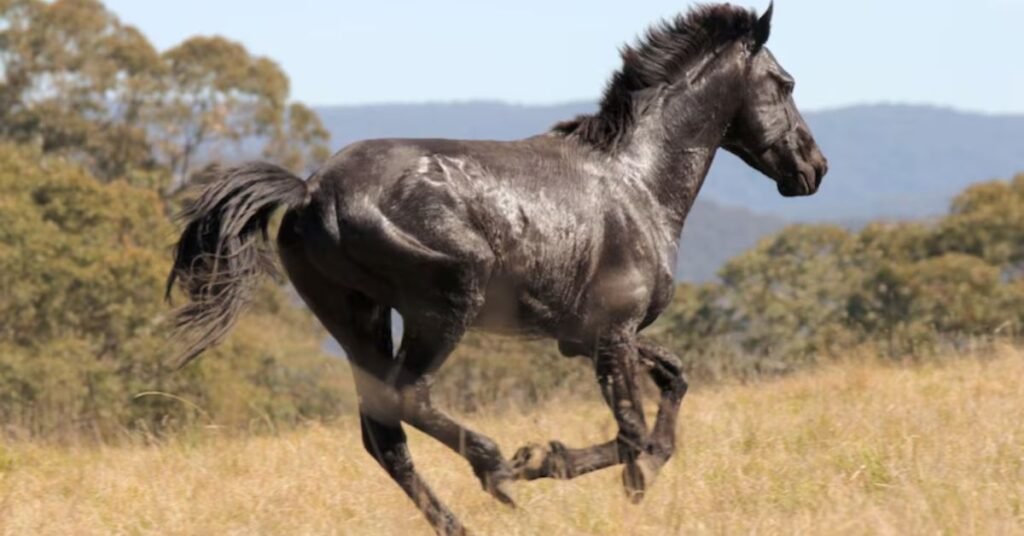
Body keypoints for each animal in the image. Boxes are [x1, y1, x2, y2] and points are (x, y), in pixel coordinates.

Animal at [165, 3, 827, 534]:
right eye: (785, 82)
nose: (813, 168)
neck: (636, 184)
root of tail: (309, 193)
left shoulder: (585, 337)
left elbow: (672, 386)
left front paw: (630, 476)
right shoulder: (612, 336)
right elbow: (632, 431)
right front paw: (545, 461)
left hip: (359, 318)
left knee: (383, 433)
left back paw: (460, 521)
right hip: (444, 303)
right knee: (407, 398)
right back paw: (496, 466)